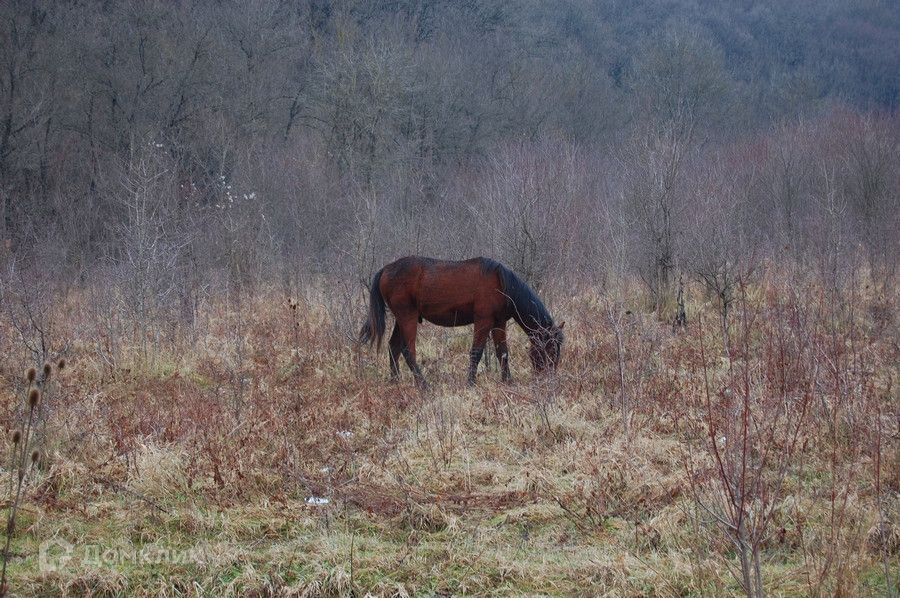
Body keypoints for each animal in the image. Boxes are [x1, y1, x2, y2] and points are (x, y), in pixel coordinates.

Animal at [358, 258, 564, 390]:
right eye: (550, 348)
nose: (548, 381)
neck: (501, 283)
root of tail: (385, 270)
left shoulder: (499, 323)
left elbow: (502, 352)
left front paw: (508, 381)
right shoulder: (483, 320)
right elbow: (476, 352)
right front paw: (471, 383)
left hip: (401, 320)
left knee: (393, 347)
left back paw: (396, 381)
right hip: (407, 317)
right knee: (408, 351)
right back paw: (424, 385)